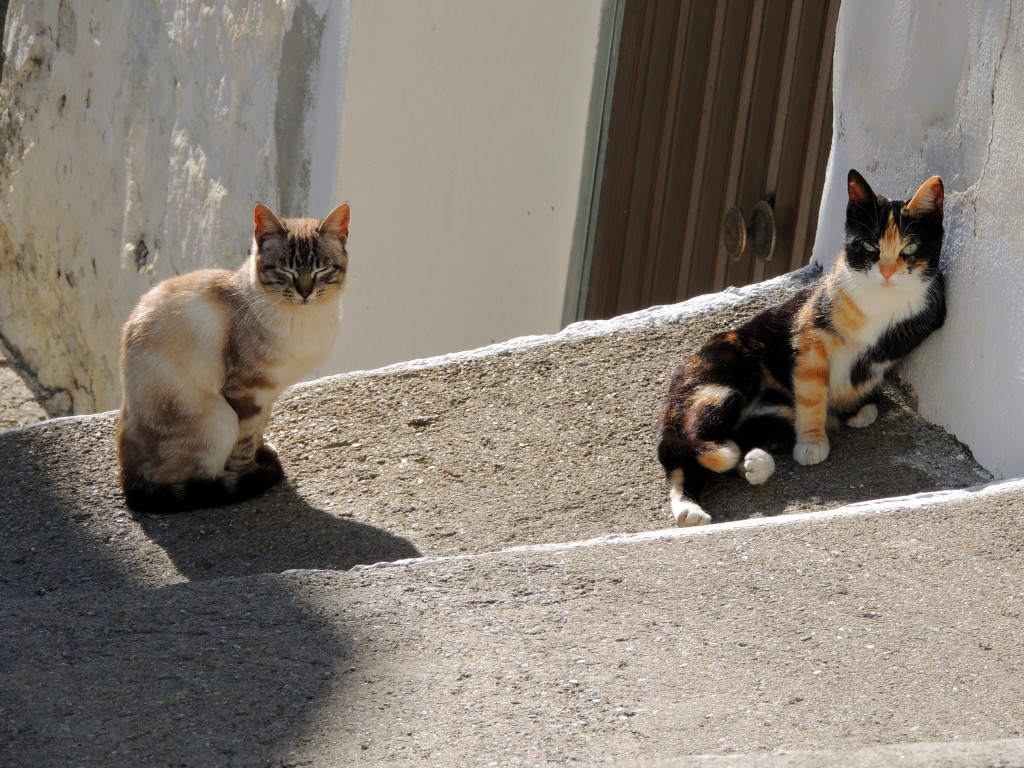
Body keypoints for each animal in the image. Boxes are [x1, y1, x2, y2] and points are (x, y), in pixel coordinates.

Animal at [117, 201, 350, 514]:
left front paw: (262, 452)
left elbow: (259, 430)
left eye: (321, 270)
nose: (304, 292)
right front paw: (253, 472)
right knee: (197, 481)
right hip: (220, 418)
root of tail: (126, 475)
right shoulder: (246, 391)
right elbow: (244, 443)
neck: (305, 321)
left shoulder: (269, 392)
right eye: (285, 271)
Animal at [659, 167, 946, 528]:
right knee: (681, 448)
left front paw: (859, 407)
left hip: (770, 418)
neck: (881, 303)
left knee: (729, 449)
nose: (887, 271)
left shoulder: (921, 320)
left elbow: (865, 371)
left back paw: (750, 467)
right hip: (726, 380)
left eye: (910, 248)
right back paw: (692, 505)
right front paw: (813, 442)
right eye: (869, 245)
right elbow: (812, 392)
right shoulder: (809, 335)